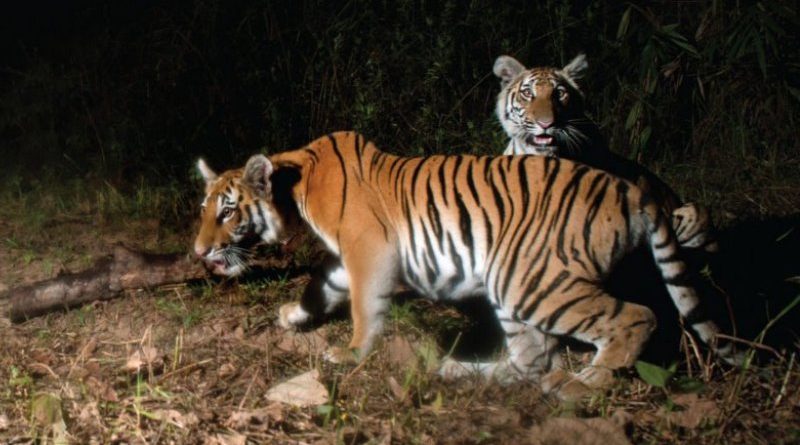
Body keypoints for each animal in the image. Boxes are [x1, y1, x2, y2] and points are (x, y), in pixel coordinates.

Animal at [192, 129, 736, 392]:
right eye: (204, 208)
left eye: (228, 210)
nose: (197, 253)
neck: (296, 183)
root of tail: (633, 190)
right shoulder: (349, 257)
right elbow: (320, 285)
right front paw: (293, 315)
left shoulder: (370, 247)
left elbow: (364, 307)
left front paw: (351, 353)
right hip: (513, 285)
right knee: (530, 360)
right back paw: (456, 371)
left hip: (533, 283)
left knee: (635, 318)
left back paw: (584, 386)